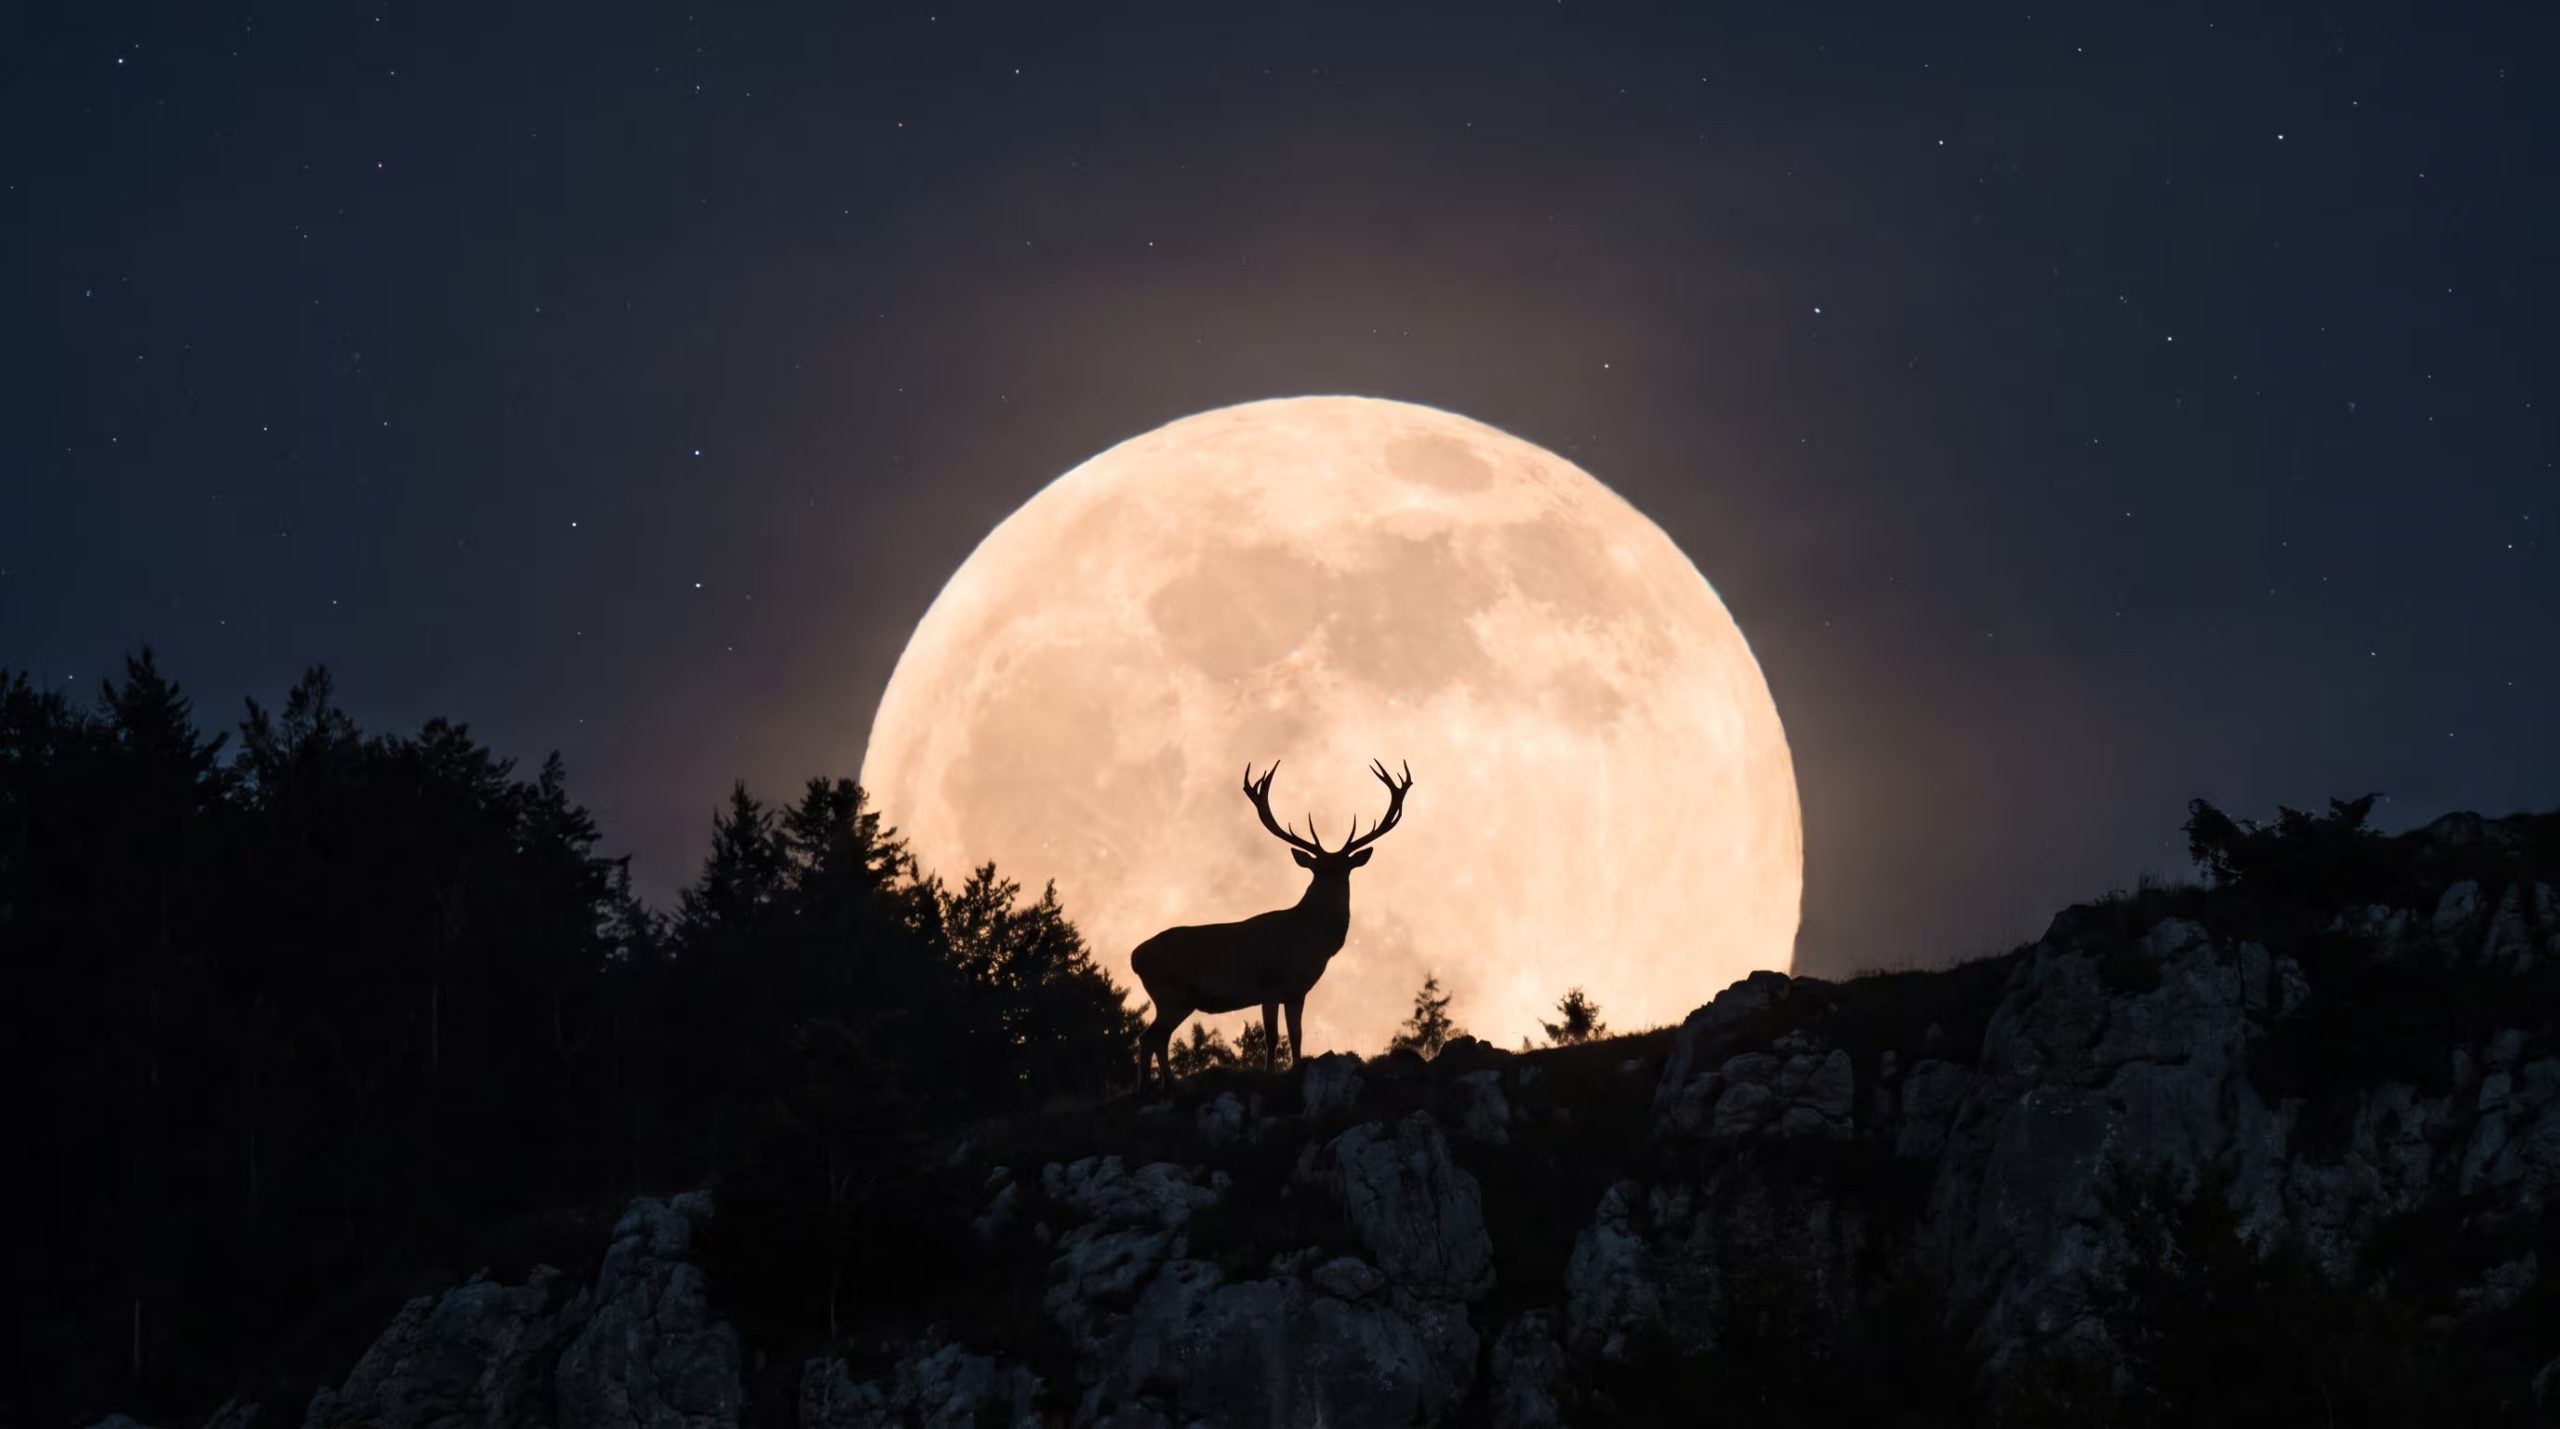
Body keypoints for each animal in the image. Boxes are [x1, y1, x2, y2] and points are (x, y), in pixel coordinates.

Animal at [1130, 758, 1414, 1094]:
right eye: (1318, 869)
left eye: (1345, 869)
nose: (1332, 884)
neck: (1310, 939)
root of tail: (1136, 956)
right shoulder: (1269, 984)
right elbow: (1272, 1036)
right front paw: (1269, 1074)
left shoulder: (1297, 991)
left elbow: (1296, 1035)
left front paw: (1295, 1069)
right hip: (1171, 994)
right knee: (1149, 1037)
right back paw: (1157, 1085)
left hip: (1175, 1000)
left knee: (1156, 1038)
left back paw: (1163, 1084)